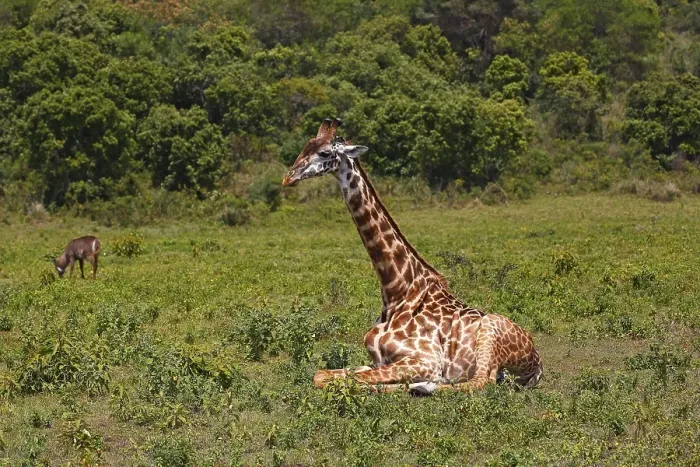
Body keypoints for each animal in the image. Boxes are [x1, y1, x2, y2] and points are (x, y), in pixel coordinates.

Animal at [282, 118, 543, 395]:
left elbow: (351, 381)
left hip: (490, 334)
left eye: (324, 153)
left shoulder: (426, 360)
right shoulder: (377, 360)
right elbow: (322, 375)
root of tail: (537, 362)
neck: (396, 291)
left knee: (482, 380)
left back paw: (424, 386)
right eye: (305, 146)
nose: (288, 178)